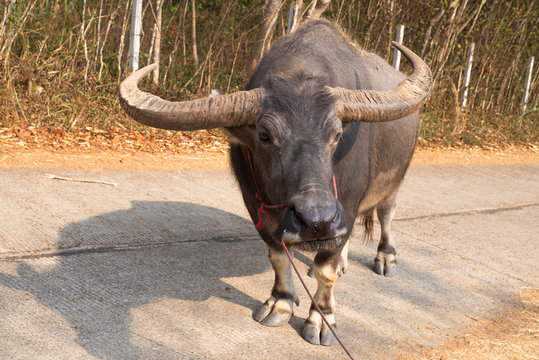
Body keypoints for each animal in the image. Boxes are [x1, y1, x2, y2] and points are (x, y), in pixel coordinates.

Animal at [120, 19, 432, 346]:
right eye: (265, 136)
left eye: (336, 135)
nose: (317, 222)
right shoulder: (257, 205)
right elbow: (279, 257)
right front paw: (280, 303)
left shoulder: (344, 203)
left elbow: (326, 270)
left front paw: (321, 319)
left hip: (393, 181)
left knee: (385, 214)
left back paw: (385, 258)